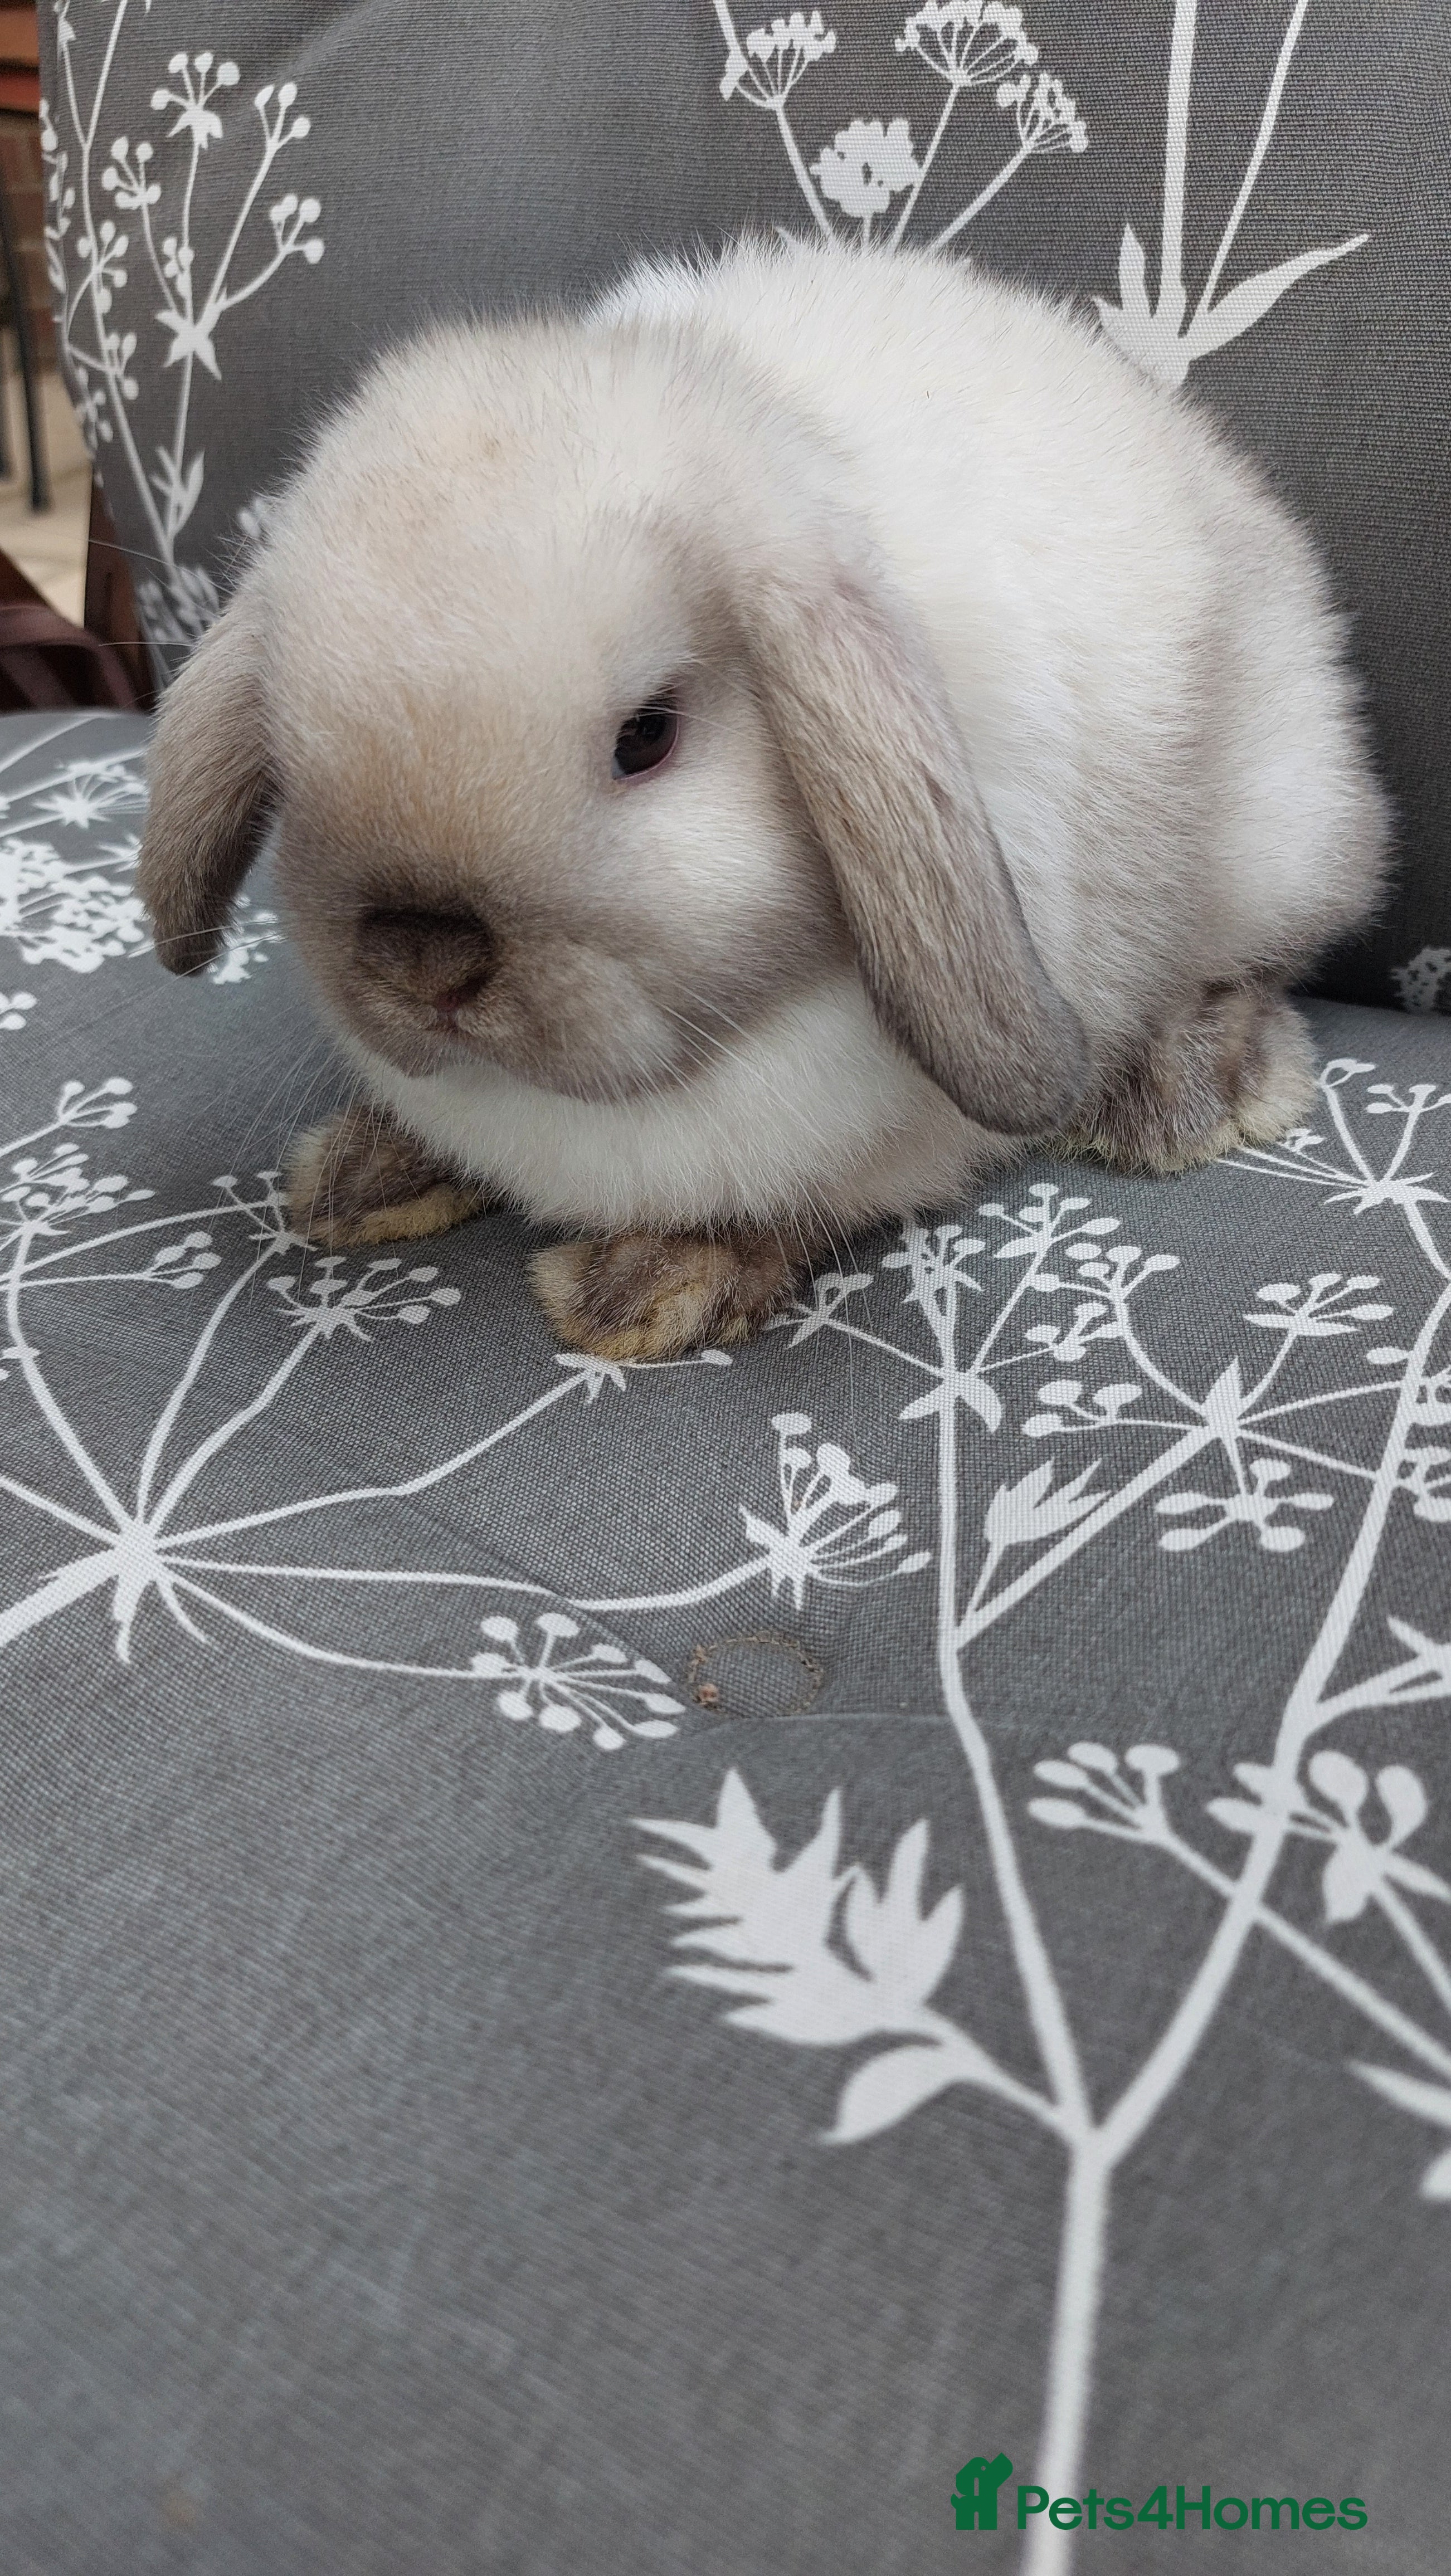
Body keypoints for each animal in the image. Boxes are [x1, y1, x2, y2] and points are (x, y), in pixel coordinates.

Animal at [136, 233, 1389, 1361]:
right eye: (289, 745)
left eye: (647, 736)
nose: (422, 959)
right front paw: (365, 1174)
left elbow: (800, 1208)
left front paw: (642, 1288)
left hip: (1276, 839)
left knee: (1255, 963)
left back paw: (1177, 1095)